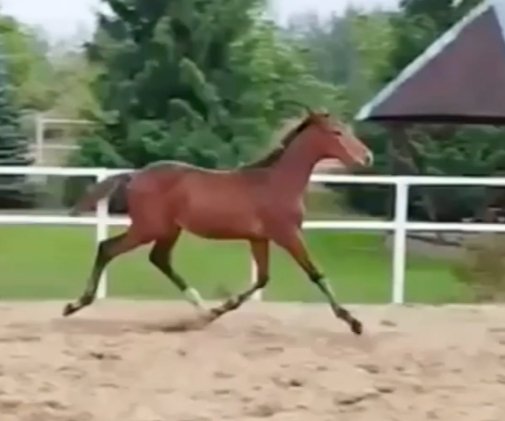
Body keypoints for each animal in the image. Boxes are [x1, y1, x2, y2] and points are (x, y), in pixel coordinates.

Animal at [64, 107, 373, 335]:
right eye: (336, 132)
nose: (367, 157)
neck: (276, 183)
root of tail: (135, 175)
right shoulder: (287, 234)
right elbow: (315, 274)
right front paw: (353, 322)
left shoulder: (259, 238)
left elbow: (262, 279)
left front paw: (221, 309)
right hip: (147, 228)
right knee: (108, 248)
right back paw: (76, 304)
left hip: (168, 230)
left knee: (159, 259)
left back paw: (203, 309)